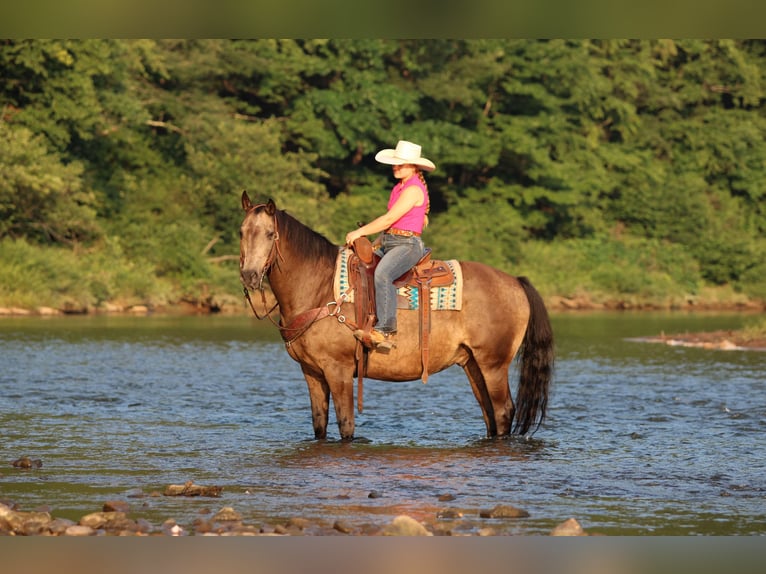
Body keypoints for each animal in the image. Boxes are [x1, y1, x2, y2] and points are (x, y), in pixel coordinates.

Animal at [239, 192, 554, 440]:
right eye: (242, 232)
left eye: (270, 234)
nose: (250, 275)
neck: (319, 287)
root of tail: (516, 281)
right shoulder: (312, 372)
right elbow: (319, 425)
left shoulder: (338, 370)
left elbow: (346, 426)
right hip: (472, 364)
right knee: (489, 414)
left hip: (493, 364)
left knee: (503, 412)